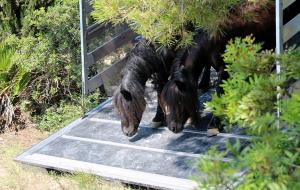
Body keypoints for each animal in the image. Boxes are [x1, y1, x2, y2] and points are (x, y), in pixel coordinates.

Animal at [161, 1, 276, 134]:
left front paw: (216, 122)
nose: (172, 127)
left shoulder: (224, 70)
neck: (211, 40)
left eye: (179, 102)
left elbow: (219, 92)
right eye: (165, 104)